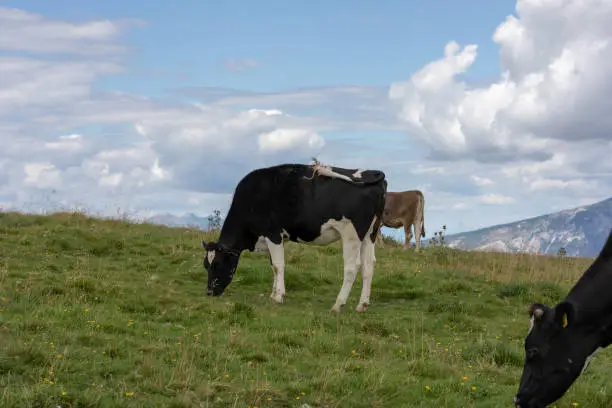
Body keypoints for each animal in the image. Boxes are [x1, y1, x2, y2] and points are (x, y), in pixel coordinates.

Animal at [202, 160, 388, 312]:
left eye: (217, 264)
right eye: (206, 265)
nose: (209, 292)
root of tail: (373, 173)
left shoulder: (272, 234)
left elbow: (278, 266)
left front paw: (278, 296)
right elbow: (273, 265)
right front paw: (273, 294)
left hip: (351, 233)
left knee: (352, 267)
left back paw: (338, 304)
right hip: (370, 234)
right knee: (369, 265)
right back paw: (362, 305)